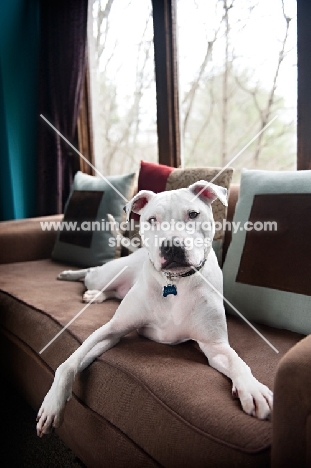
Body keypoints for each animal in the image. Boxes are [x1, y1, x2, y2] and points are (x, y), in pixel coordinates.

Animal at [36, 181, 272, 436]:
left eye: (193, 214)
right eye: (151, 220)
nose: (172, 247)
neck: (176, 282)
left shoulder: (215, 345)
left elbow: (239, 362)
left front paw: (253, 389)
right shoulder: (111, 330)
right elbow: (68, 364)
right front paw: (53, 405)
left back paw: (96, 295)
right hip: (107, 275)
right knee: (91, 272)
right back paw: (72, 275)